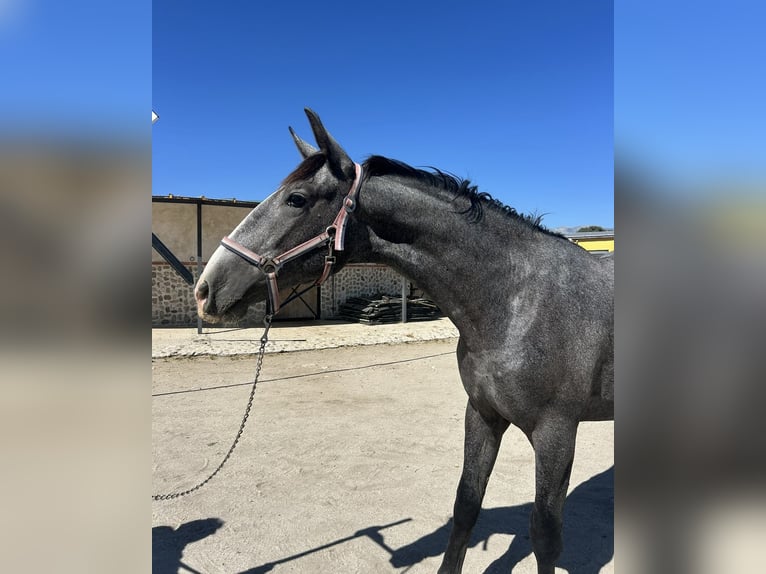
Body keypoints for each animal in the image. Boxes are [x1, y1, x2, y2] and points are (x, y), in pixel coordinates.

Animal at [195, 109, 616, 574]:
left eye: (297, 199)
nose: (205, 289)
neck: (518, 299)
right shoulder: (483, 415)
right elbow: (466, 505)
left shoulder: (555, 434)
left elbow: (545, 535)